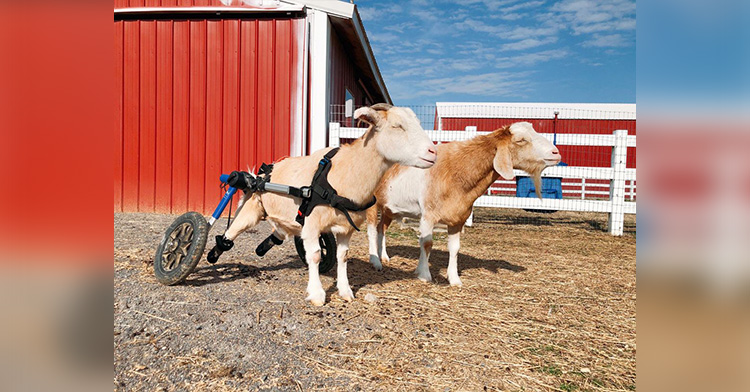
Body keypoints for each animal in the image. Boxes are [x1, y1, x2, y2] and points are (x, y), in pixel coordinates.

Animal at [220, 105, 438, 306]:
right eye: (397, 126)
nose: (433, 152)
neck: (342, 173)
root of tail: (262, 173)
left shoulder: (345, 228)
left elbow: (342, 256)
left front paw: (345, 291)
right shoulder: (312, 223)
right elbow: (315, 256)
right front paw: (317, 295)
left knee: (279, 233)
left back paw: (261, 249)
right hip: (251, 211)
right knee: (229, 234)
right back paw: (215, 255)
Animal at [368, 121, 560, 286]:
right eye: (521, 140)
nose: (556, 153)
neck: (457, 172)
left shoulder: (458, 219)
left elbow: (455, 248)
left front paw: (454, 280)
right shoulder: (428, 216)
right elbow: (427, 243)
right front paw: (424, 275)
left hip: (388, 208)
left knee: (381, 229)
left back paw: (384, 256)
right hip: (372, 204)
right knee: (371, 230)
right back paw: (375, 261)